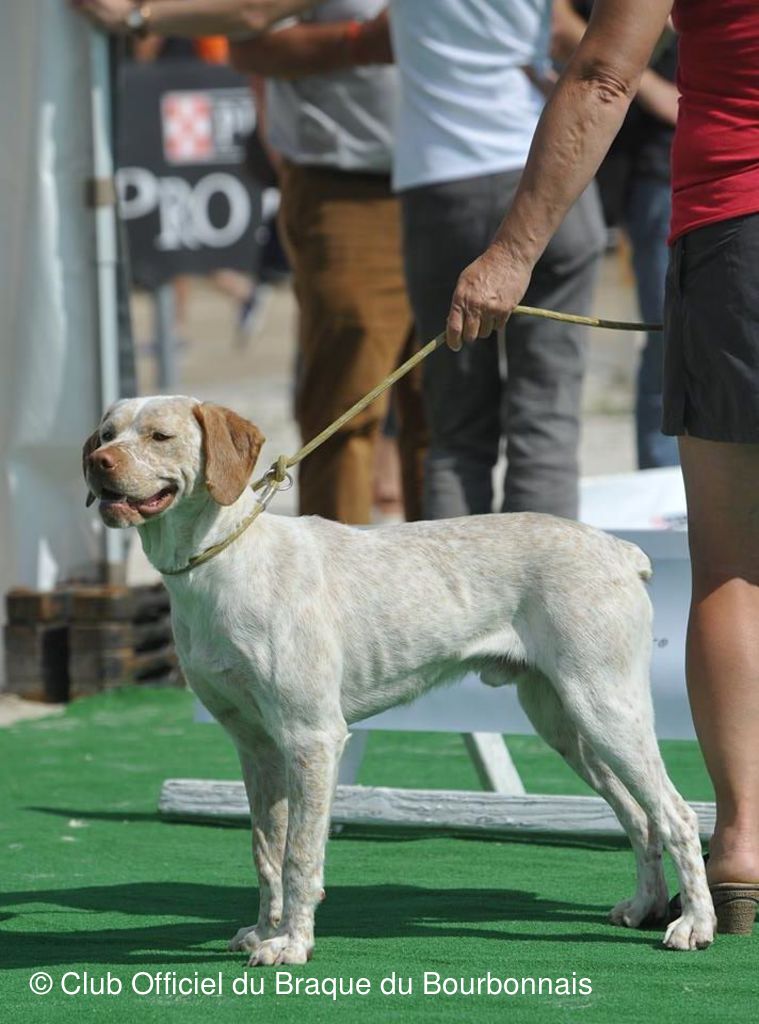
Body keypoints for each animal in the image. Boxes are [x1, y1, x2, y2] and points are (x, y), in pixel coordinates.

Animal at [82, 395, 715, 962]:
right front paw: (264, 933)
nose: (98, 463)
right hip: (566, 725)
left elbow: (299, 856)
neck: (221, 565)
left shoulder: (312, 738)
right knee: (640, 818)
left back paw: (694, 925)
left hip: (607, 710)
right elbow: (265, 853)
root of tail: (621, 549)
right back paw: (644, 907)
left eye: (160, 436)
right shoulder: (255, 747)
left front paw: (291, 945)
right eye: (106, 433)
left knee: (678, 816)